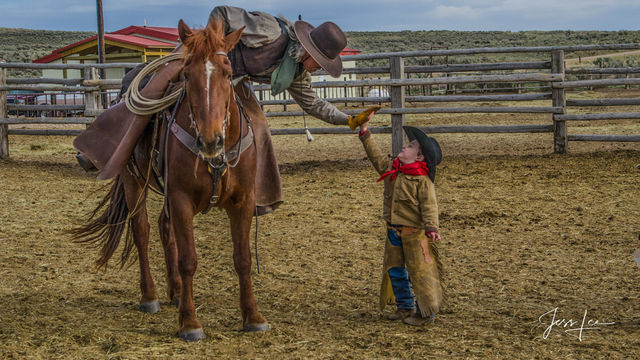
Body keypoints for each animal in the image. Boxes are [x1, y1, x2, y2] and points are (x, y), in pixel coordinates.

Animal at [71, 19, 268, 340]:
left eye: (227, 73)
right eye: (186, 75)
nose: (210, 141)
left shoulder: (243, 201)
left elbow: (243, 258)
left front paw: (253, 316)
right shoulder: (181, 199)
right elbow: (188, 260)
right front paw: (189, 322)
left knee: (165, 229)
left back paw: (175, 292)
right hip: (134, 182)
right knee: (142, 231)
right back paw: (150, 296)